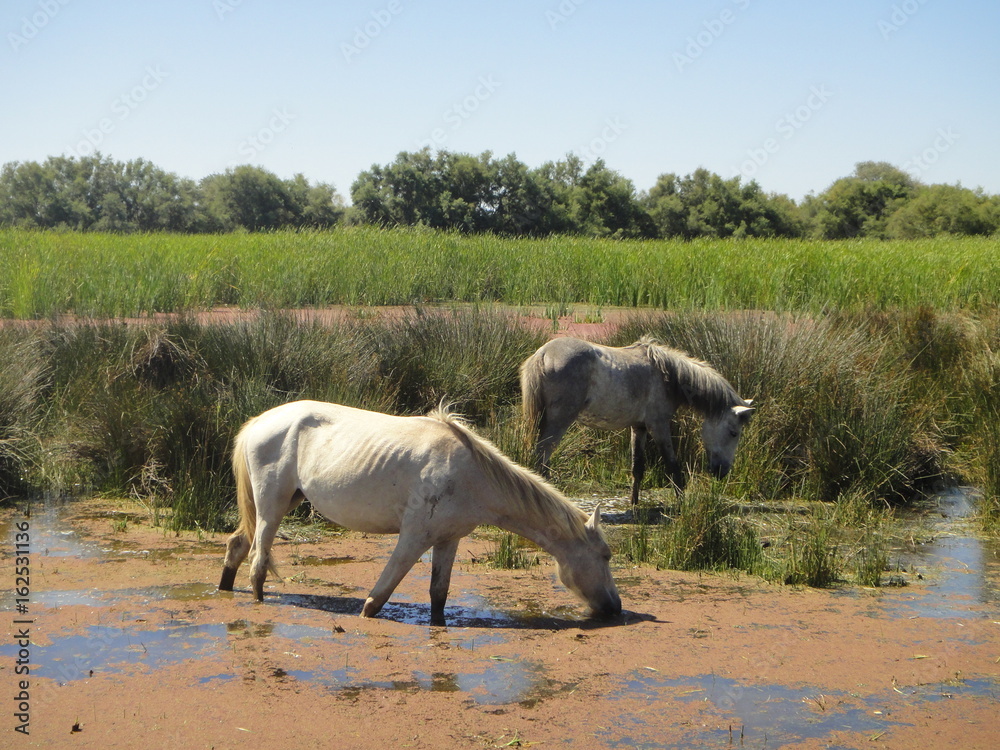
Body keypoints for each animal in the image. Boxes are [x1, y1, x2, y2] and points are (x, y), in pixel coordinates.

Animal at [218, 400, 621, 625]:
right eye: (605, 554)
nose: (615, 607)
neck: (471, 475)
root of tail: (258, 422)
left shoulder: (448, 540)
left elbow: (438, 595)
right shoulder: (413, 538)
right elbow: (377, 599)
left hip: (285, 501)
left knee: (238, 546)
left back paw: (224, 590)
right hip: (271, 505)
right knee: (257, 561)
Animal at [520, 336, 754, 505]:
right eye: (734, 432)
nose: (722, 472)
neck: (668, 375)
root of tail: (543, 353)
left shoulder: (639, 428)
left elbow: (637, 467)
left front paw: (634, 503)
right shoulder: (658, 426)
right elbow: (672, 465)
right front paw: (682, 504)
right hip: (559, 421)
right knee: (542, 456)